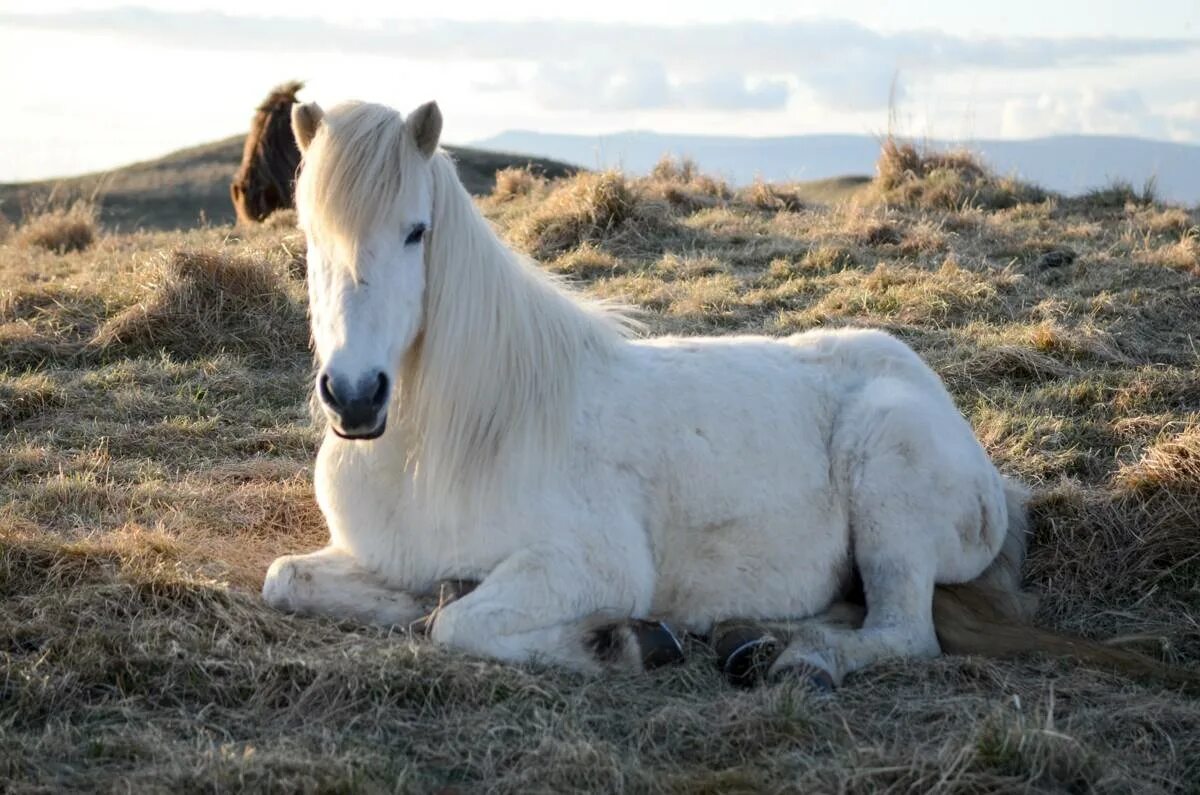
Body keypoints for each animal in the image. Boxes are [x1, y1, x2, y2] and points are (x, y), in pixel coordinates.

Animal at [265, 96, 1200, 696]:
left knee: (902, 631)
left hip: (888, 483)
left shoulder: (590, 563)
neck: (444, 442)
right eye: (308, 236)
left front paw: (619, 643)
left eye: (416, 232)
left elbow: (458, 626)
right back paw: (754, 638)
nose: (355, 397)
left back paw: (795, 659)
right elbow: (295, 581)